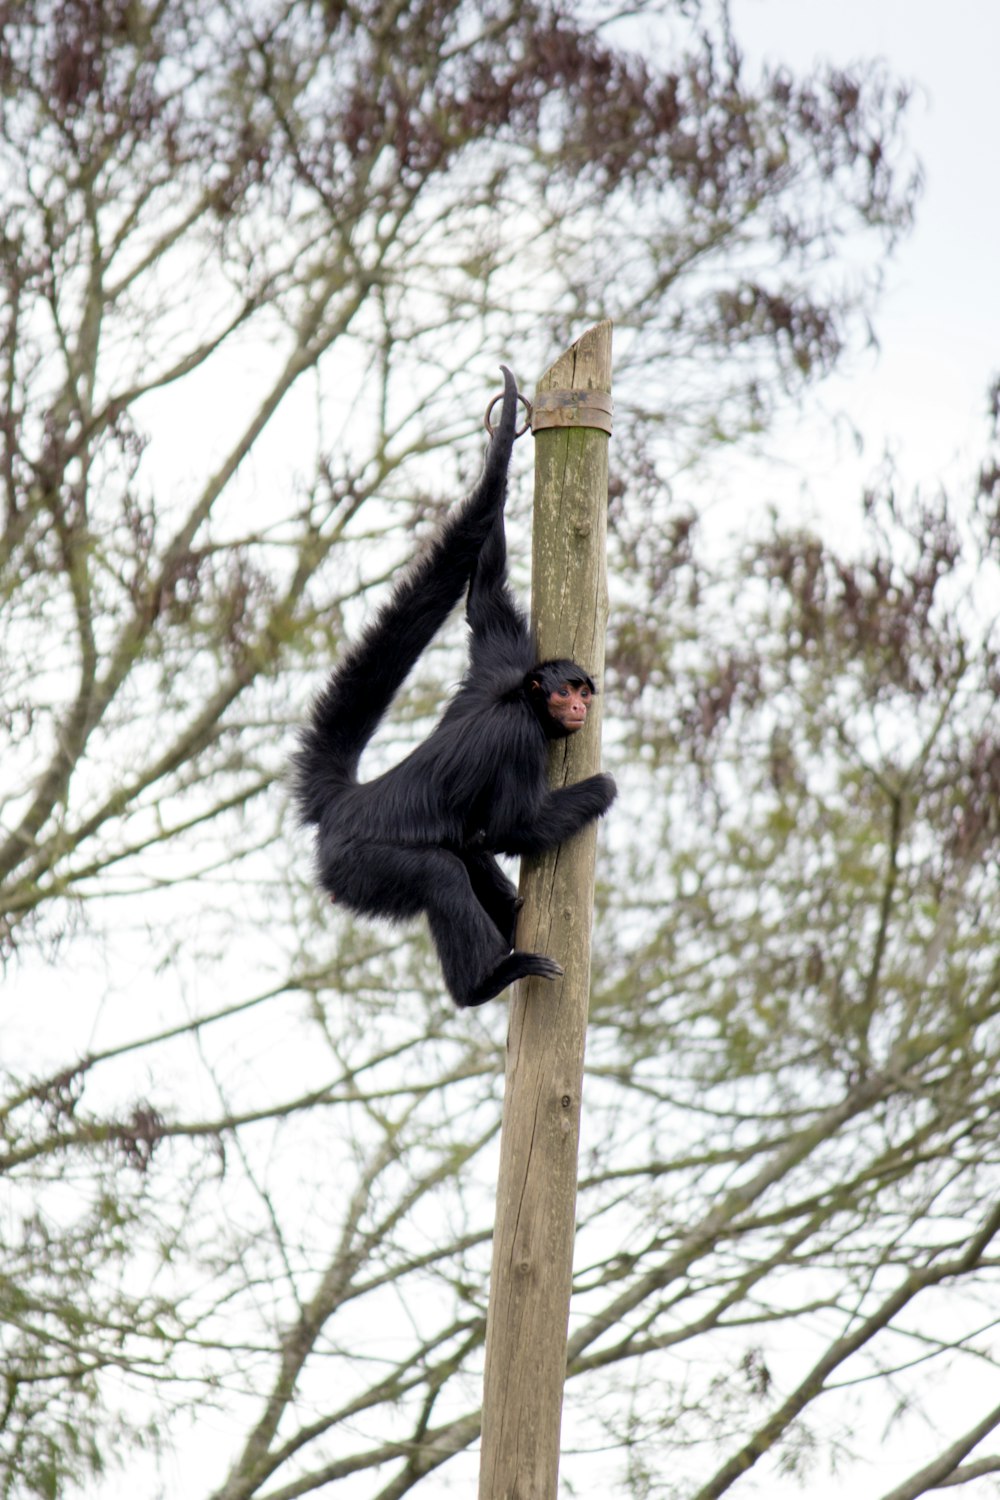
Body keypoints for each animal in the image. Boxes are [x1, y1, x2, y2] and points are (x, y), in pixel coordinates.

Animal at [293, 366, 614, 1008]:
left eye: (582, 692)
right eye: (564, 693)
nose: (576, 705)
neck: (520, 697)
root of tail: (347, 802)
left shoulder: (502, 661)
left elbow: (484, 594)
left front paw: (504, 444)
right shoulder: (520, 735)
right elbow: (515, 827)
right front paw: (603, 787)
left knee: (466, 850)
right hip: (357, 864)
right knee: (440, 871)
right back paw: (485, 981)